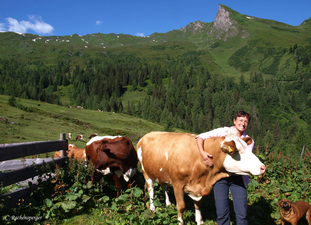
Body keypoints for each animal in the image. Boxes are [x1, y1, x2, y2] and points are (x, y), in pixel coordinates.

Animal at [137, 131, 266, 224]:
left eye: (248, 148)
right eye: (238, 150)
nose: (263, 167)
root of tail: (147, 135)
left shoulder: (198, 187)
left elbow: (198, 205)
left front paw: (199, 221)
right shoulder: (178, 183)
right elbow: (181, 207)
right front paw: (180, 222)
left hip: (162, 173)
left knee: (164, 186)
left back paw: (168, 204)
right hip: (145, 171)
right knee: (151, 190)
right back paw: (152, 209)